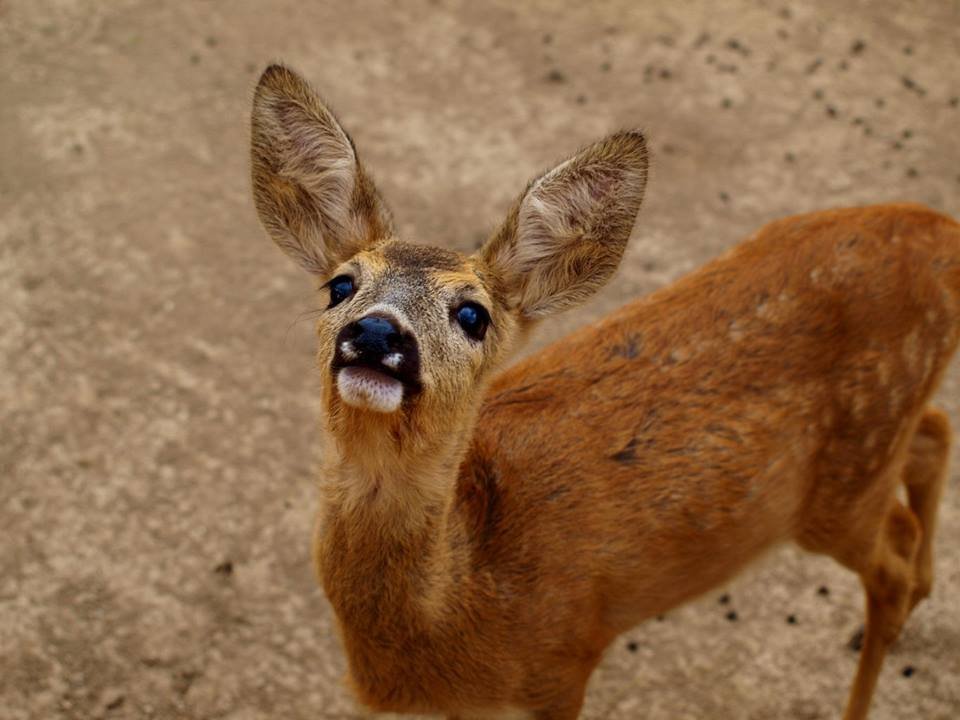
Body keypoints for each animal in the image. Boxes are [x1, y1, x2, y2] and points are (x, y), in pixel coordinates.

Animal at [249, 63, 960, 720]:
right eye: (341, 285)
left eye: (473, 314)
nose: (375, 332)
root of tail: (941, 233)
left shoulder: (562, 660)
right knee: (933, 435)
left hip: (843, 486)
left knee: (892, 554)